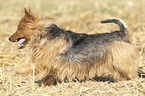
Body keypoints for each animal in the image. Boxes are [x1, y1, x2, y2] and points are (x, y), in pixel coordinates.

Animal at [9, 8, 139, 86]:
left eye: (19, 29)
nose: (9, 38)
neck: (43, 35)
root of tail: (121, 32)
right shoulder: (54, 65)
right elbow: (49, 75)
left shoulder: (45, 61)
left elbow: (32, 67)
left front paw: (19, 71)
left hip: (121, 60)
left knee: (131, 71)